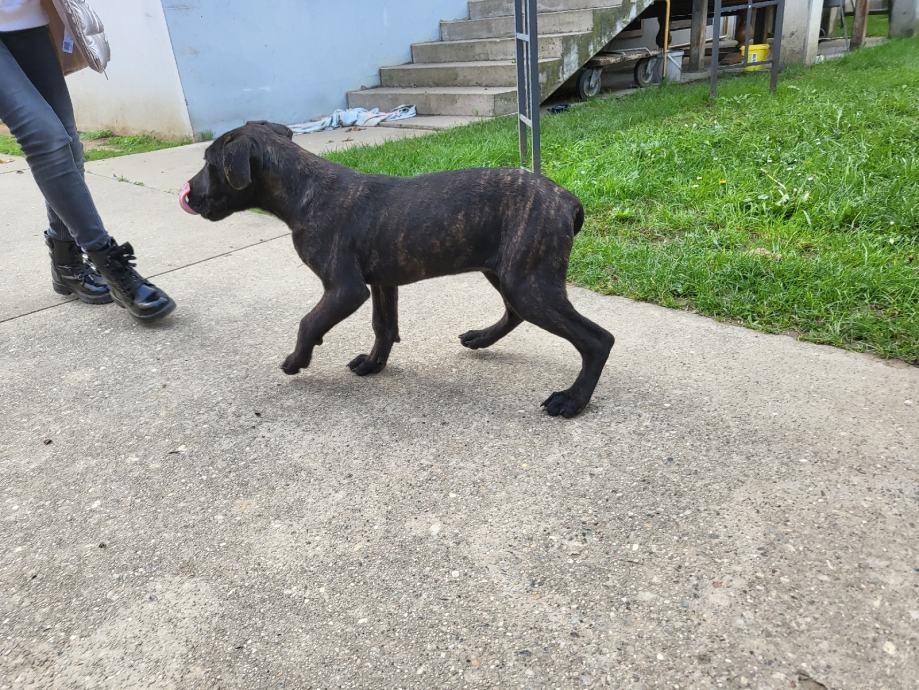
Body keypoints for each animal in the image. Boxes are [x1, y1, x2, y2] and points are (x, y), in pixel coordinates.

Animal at [181, 121, 616, 416]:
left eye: (209, 164)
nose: (189, 194)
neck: (305, 190)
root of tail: (567, 200)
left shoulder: (345, 289)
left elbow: (309, 321)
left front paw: (297, 359)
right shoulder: (382, 284)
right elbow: (384, 326)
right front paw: (374, 364)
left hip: (527, 282)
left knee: (597, 339)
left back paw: (572, 400)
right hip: (508, 273)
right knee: (514, 313)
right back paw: (481, 338)